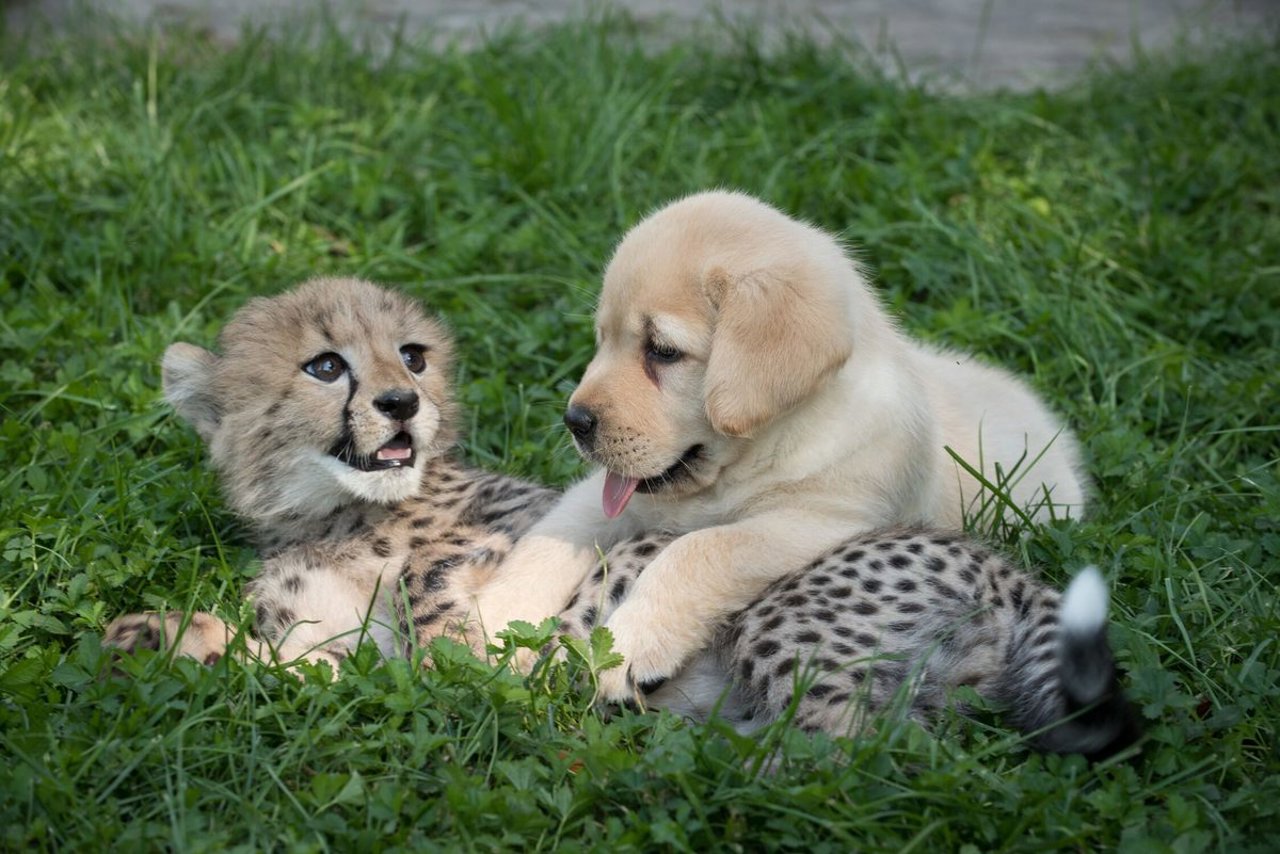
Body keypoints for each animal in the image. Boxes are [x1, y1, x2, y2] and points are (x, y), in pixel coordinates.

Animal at [476, 192, 1085, 701]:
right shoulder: (615, 494)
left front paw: (631, 643)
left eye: (663, 351)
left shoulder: (822, 522)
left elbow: (701, 549)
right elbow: (552, 536)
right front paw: (489, 619)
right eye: (602, 339)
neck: (756, 453)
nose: (574, 421)